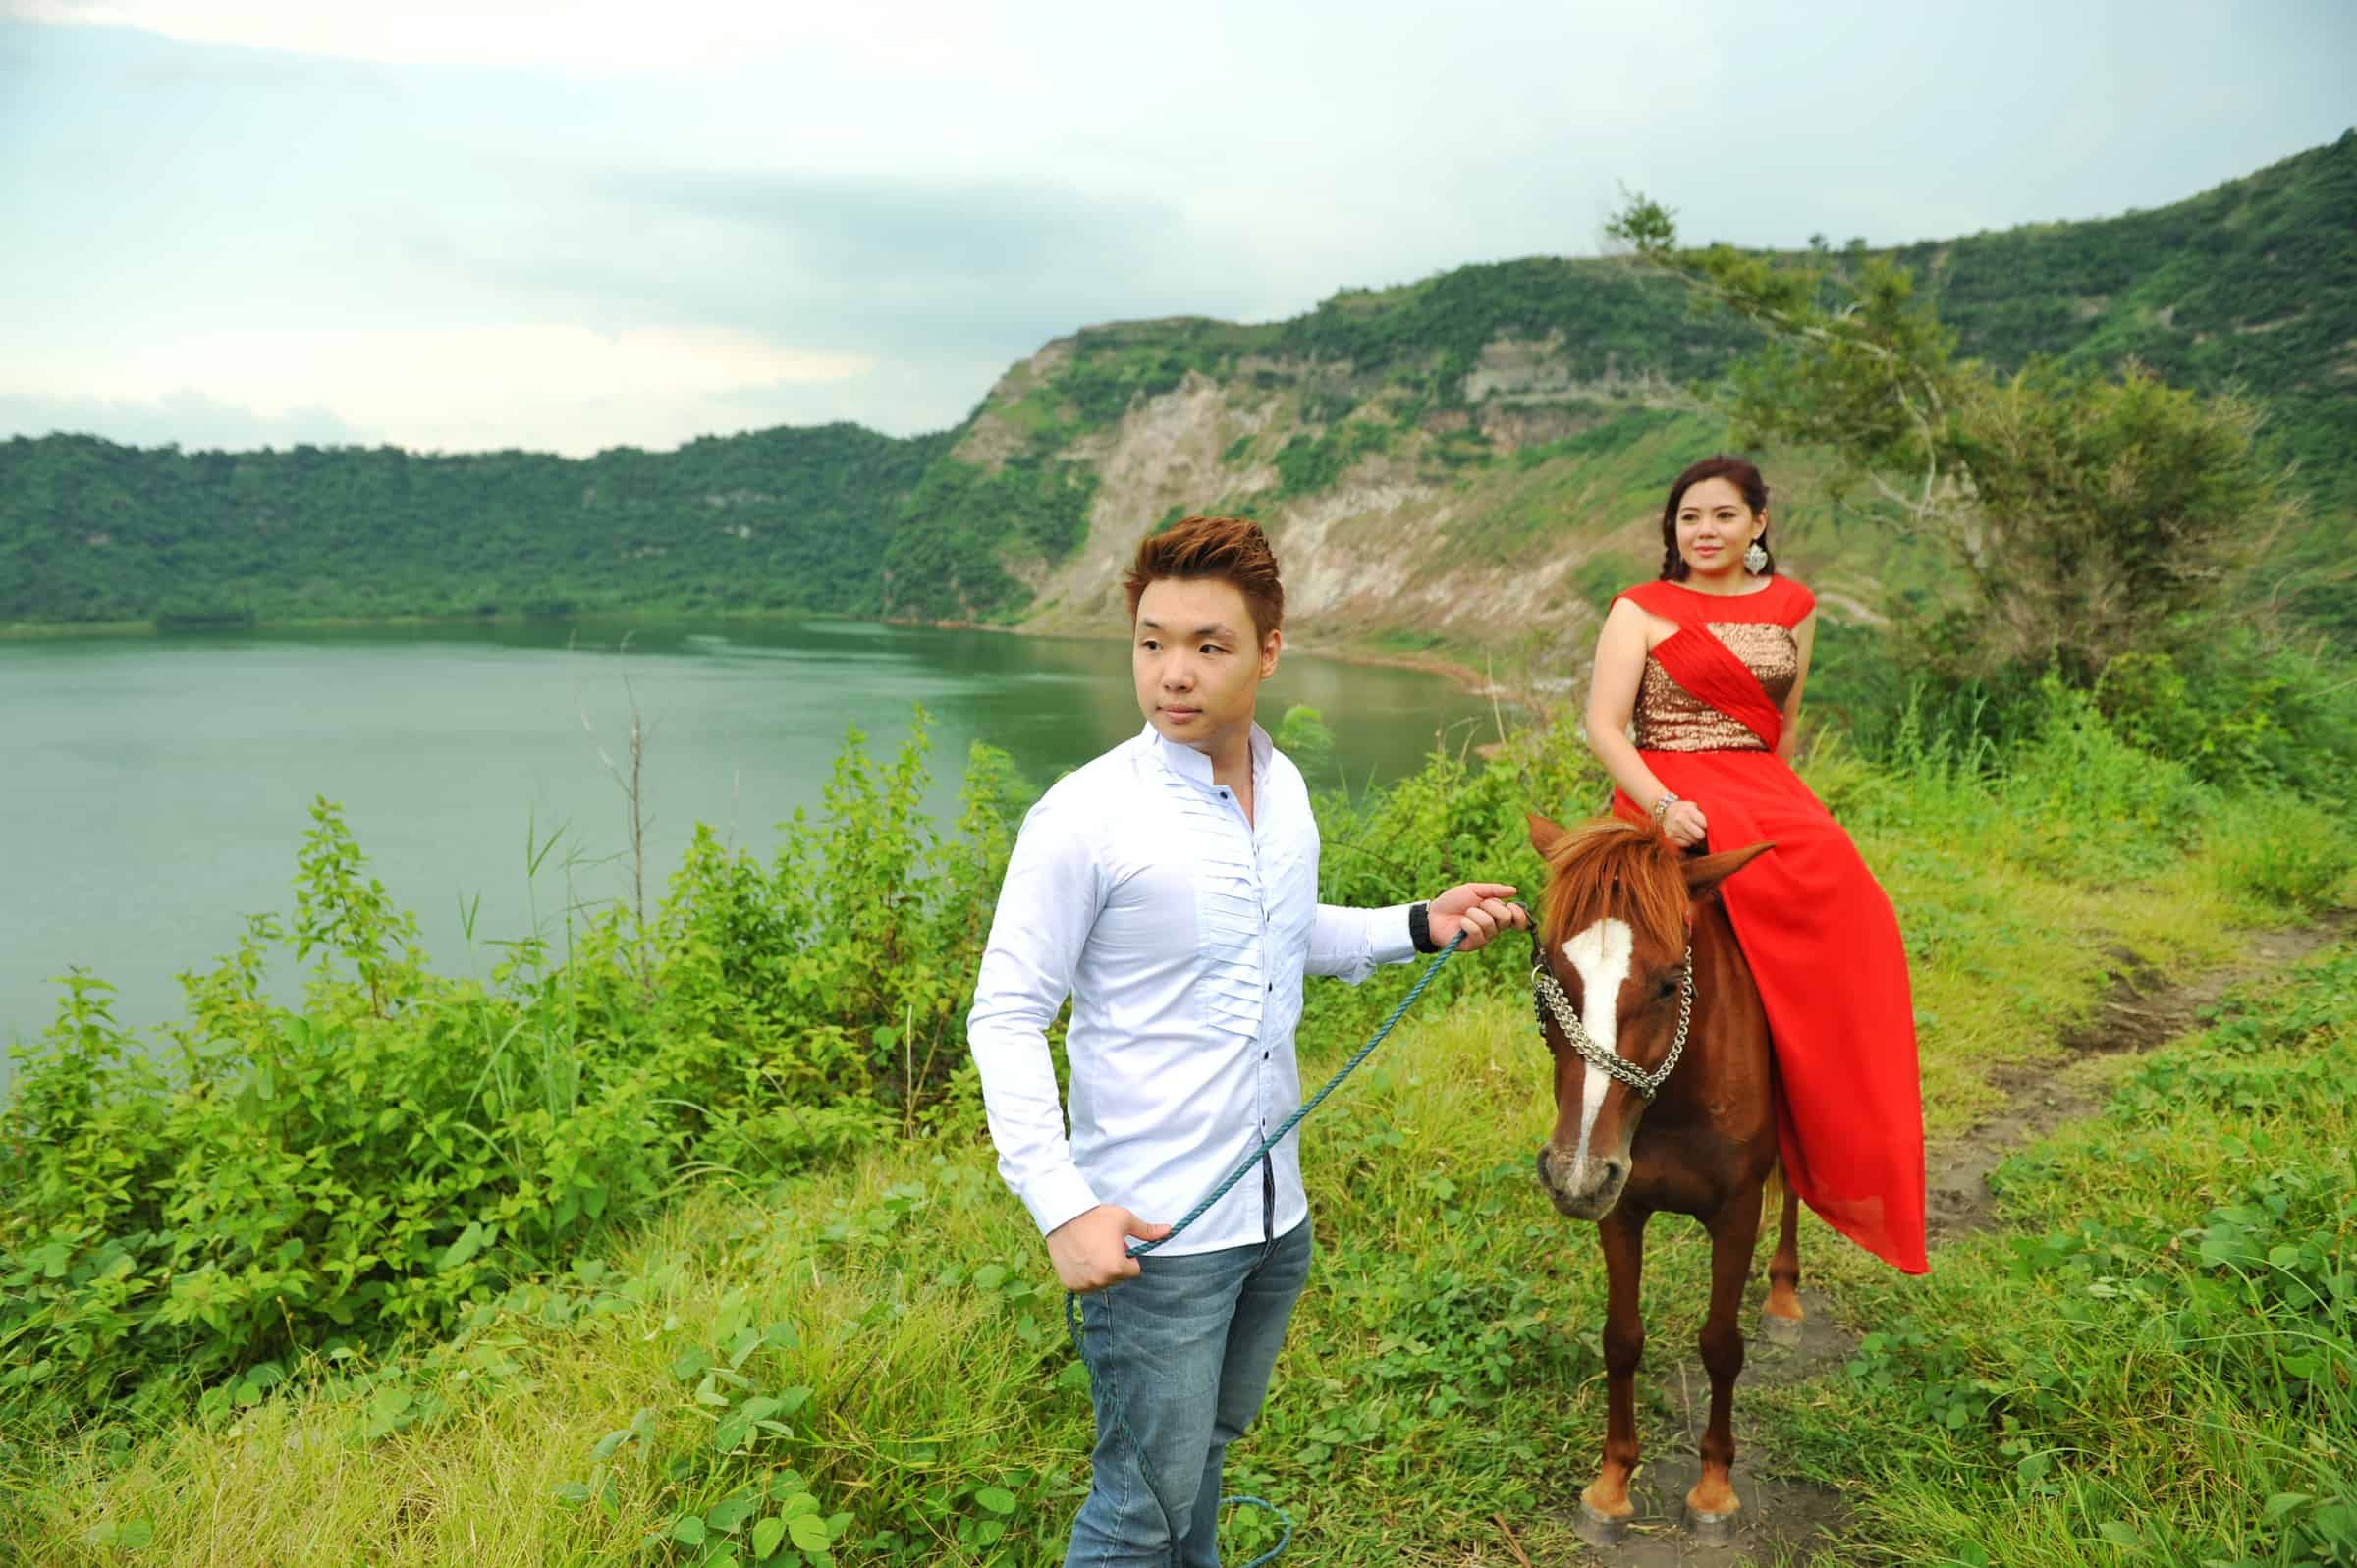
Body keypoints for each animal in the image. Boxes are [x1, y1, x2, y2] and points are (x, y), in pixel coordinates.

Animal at [1527, 811, 1800, 1546]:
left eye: (1670, 983)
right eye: (1550, 979)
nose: (1573, 1172)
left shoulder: (1737, 1213)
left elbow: (1721, 1345)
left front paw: (1714, 1490)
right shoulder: (1620, 1209)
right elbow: (1621, 1340)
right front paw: (1611, 1485)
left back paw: (1785, 1298)